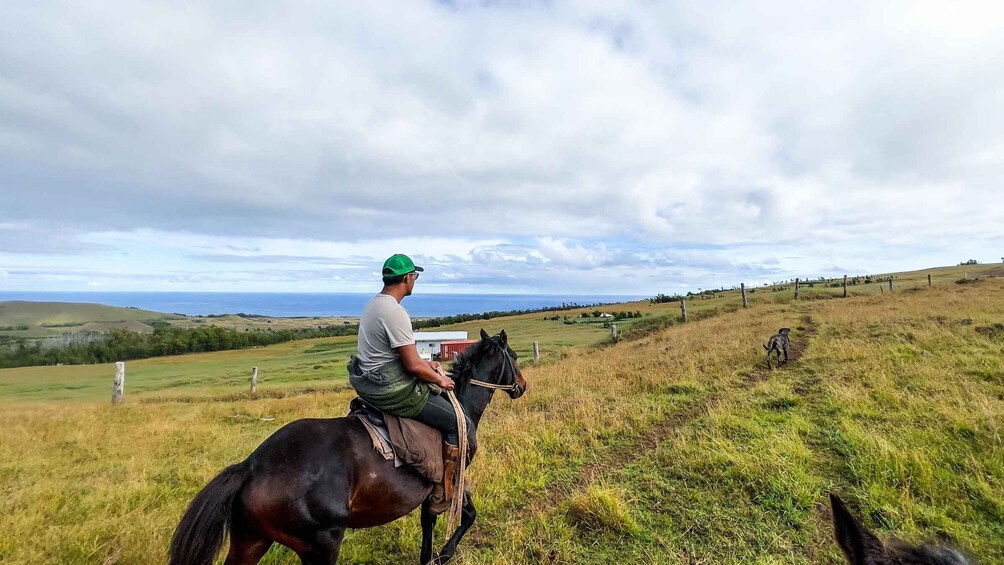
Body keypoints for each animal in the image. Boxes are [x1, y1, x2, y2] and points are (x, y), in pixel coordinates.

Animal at [173, 329, 530, 561]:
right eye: (513, 357)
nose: (522, 386)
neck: (462, 405)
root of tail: (252, 467)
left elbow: (429, 526)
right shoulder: (451, 481)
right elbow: (467, 516)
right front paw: (444, 554)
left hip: (251, 540)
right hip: (321, 543)